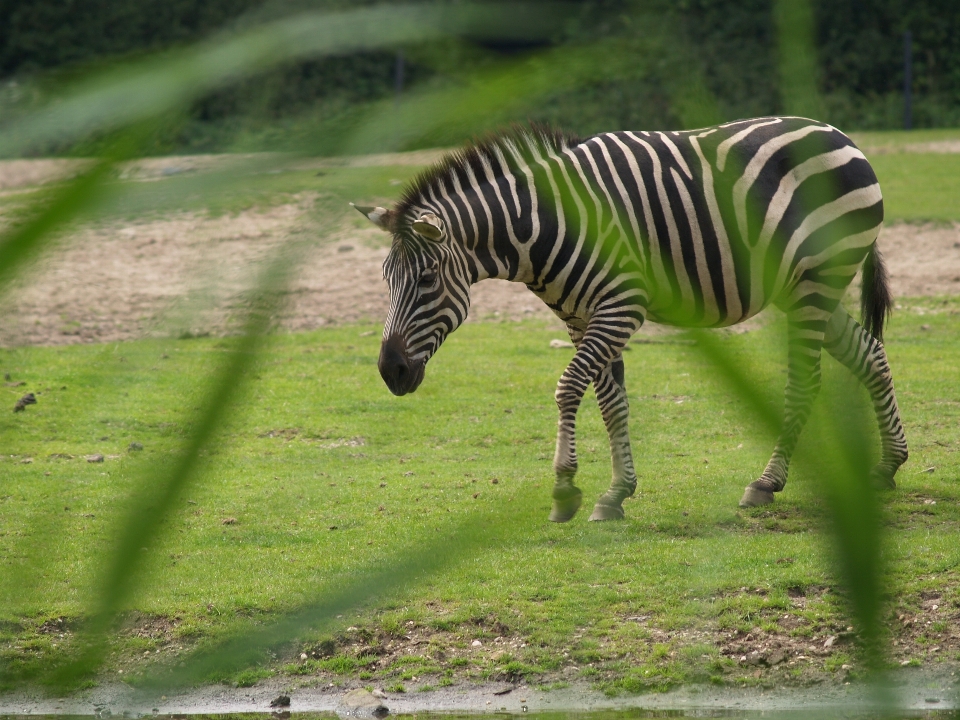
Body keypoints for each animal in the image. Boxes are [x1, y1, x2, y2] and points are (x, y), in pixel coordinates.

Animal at [352, 118, 908, 524]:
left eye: (426, 280)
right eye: (385, 279)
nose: (389, 372)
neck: (545, 225)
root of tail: (838, 134)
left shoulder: (622, 307)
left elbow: (568, 387)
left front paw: (565, 489)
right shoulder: (582, 317)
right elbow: (611, 402)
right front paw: (616, 493)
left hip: (817, 280)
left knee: (806, 379)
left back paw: (767, 483)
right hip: (805, 288)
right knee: (870, 353)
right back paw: (888, 465)